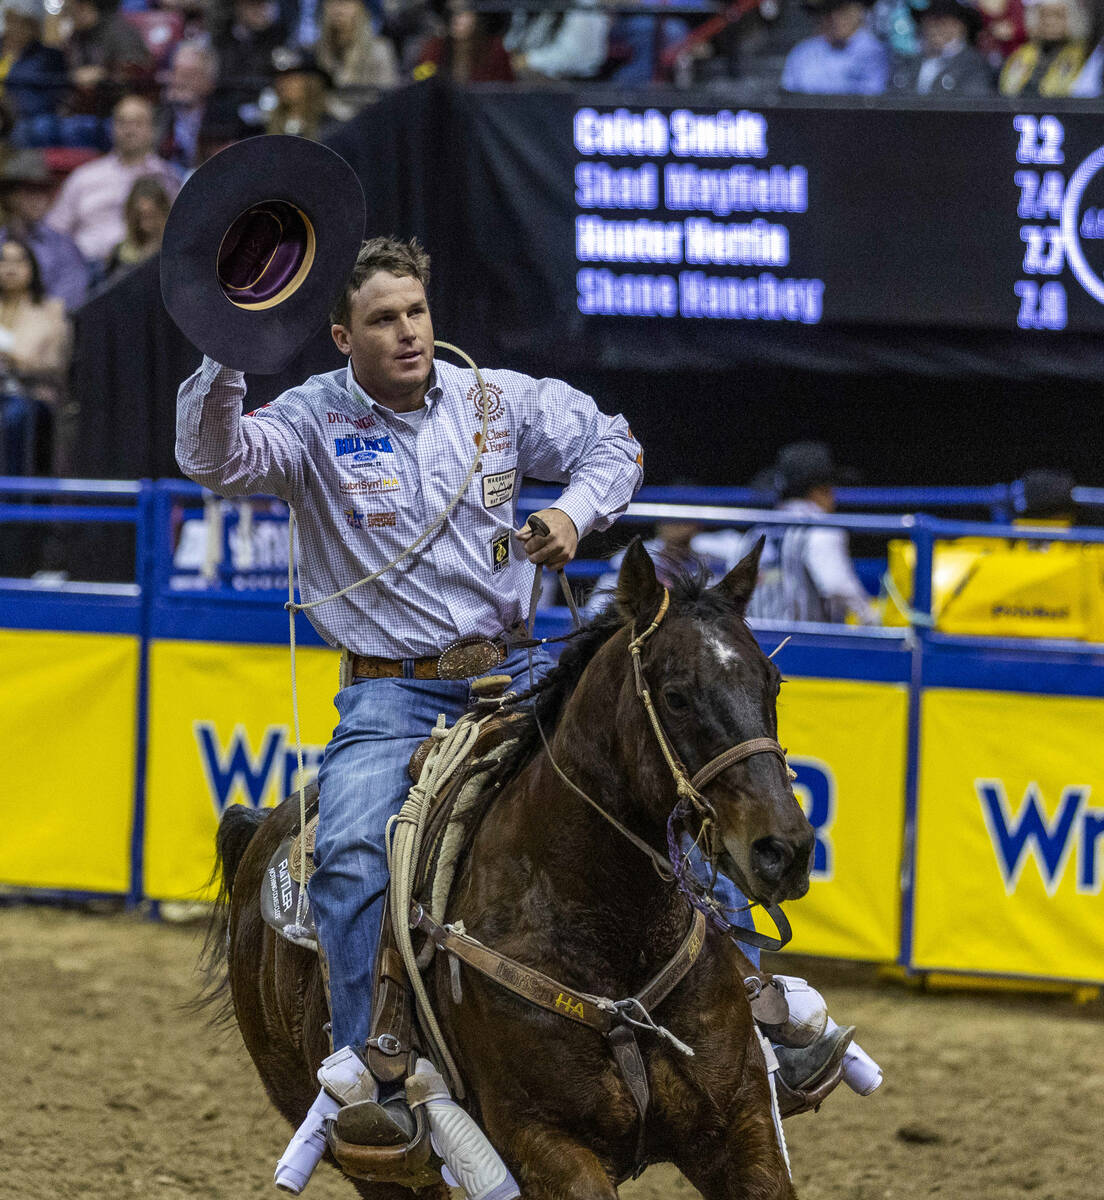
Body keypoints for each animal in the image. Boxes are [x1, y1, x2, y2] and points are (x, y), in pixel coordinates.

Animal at [206, 540, 816, 1195]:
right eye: (676, 695)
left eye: (774, 683)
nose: (785, 849)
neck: (608, 925)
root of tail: (259, 831)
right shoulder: (541, 1144)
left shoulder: (740, 1124)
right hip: (375, 1163)